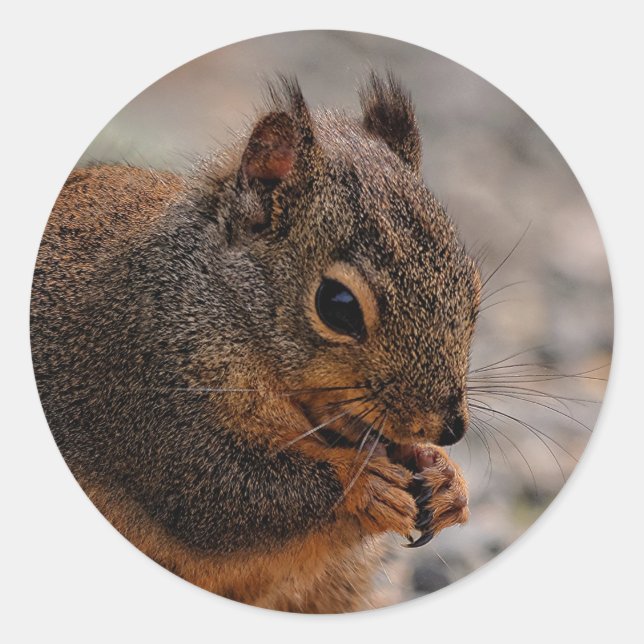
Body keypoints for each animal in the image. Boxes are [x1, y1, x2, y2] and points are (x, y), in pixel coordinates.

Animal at [31, 73, 481, 613]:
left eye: (473, 287)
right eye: (338, 305)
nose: (450, 428)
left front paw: (445, 479)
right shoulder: (146, 396)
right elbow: (231, 492)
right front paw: (365, 482)